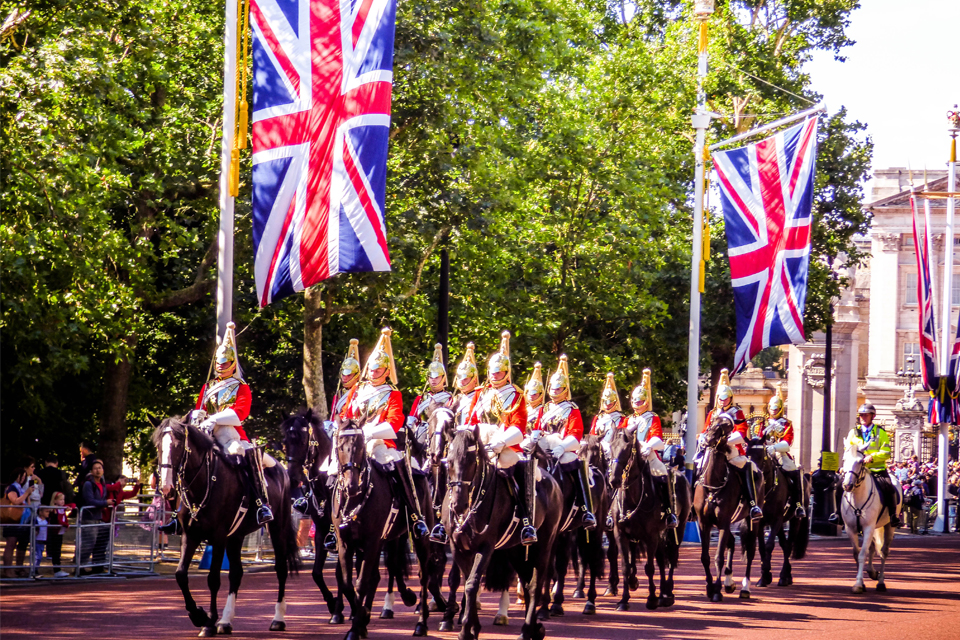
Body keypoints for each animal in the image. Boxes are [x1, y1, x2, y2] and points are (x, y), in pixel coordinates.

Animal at [154, 420, 300, 636]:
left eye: (178, 446)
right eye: (158, 446)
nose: (166, 488)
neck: (203, 482)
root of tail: (281, 468)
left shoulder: (218, 536)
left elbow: (213, 578)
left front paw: (208, 622)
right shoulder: (190, 535)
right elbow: (180, 574)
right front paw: (198, 615)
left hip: (277, 527)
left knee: (281, 568)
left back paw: (278, 619)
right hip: (236, 537)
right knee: (236, 573)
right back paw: (225, 621)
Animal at [442, 424, 564, 640]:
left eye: (471, 460)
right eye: (449, 461)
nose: (458, 505)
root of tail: (552, 480)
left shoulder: (486, 546)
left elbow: (472, 584)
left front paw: (466, 630)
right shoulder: (458, 548)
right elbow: (467, 583)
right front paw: (473, 628)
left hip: (544, 545)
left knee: (535, 585)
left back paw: (526, 630)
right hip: (515, 550)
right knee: (526, 582)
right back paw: (534, 628)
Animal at [840, 440, 900, 596]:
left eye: (861, 462)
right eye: (844, 459)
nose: (847, 485)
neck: (857, 497)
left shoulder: (868, 527)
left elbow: (862, 554)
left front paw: (858, 585)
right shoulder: (851, 529)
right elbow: (857, 554)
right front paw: (861, 582)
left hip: (889, 526)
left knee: (884, 551)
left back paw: (881, 582)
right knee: (873, 547)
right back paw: (872, 572)